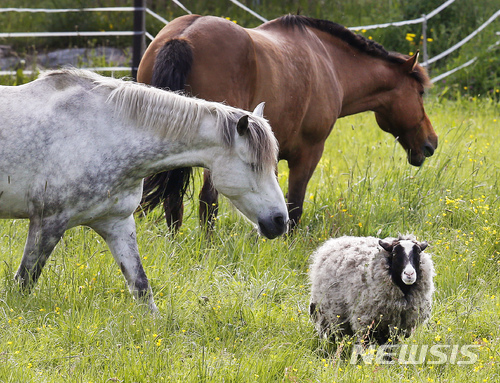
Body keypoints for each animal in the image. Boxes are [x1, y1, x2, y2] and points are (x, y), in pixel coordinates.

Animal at [0, 69, 288, 310]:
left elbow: (141, 287)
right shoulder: (48, 222)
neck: (101, 135)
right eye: (252, 165)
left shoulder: (117, 224)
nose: (280, 221)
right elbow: (24, 282)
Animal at [138, 14, 438, 231]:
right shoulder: (308, 154)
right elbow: (294, 208)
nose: (431, 143)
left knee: (173, 201)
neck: (329, 62)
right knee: (206, 201)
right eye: (420, 92)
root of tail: (182, 36)